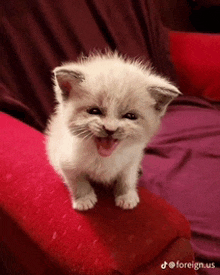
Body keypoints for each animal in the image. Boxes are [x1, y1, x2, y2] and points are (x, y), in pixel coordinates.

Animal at [45, 51, 180, 211]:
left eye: (130, 116)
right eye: (94, 111)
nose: (110, 129)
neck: (104, 158)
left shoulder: (132, 159)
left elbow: (127, 178)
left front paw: (126, 196)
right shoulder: (66, 161)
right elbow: (78, 181)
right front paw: (84, 199)